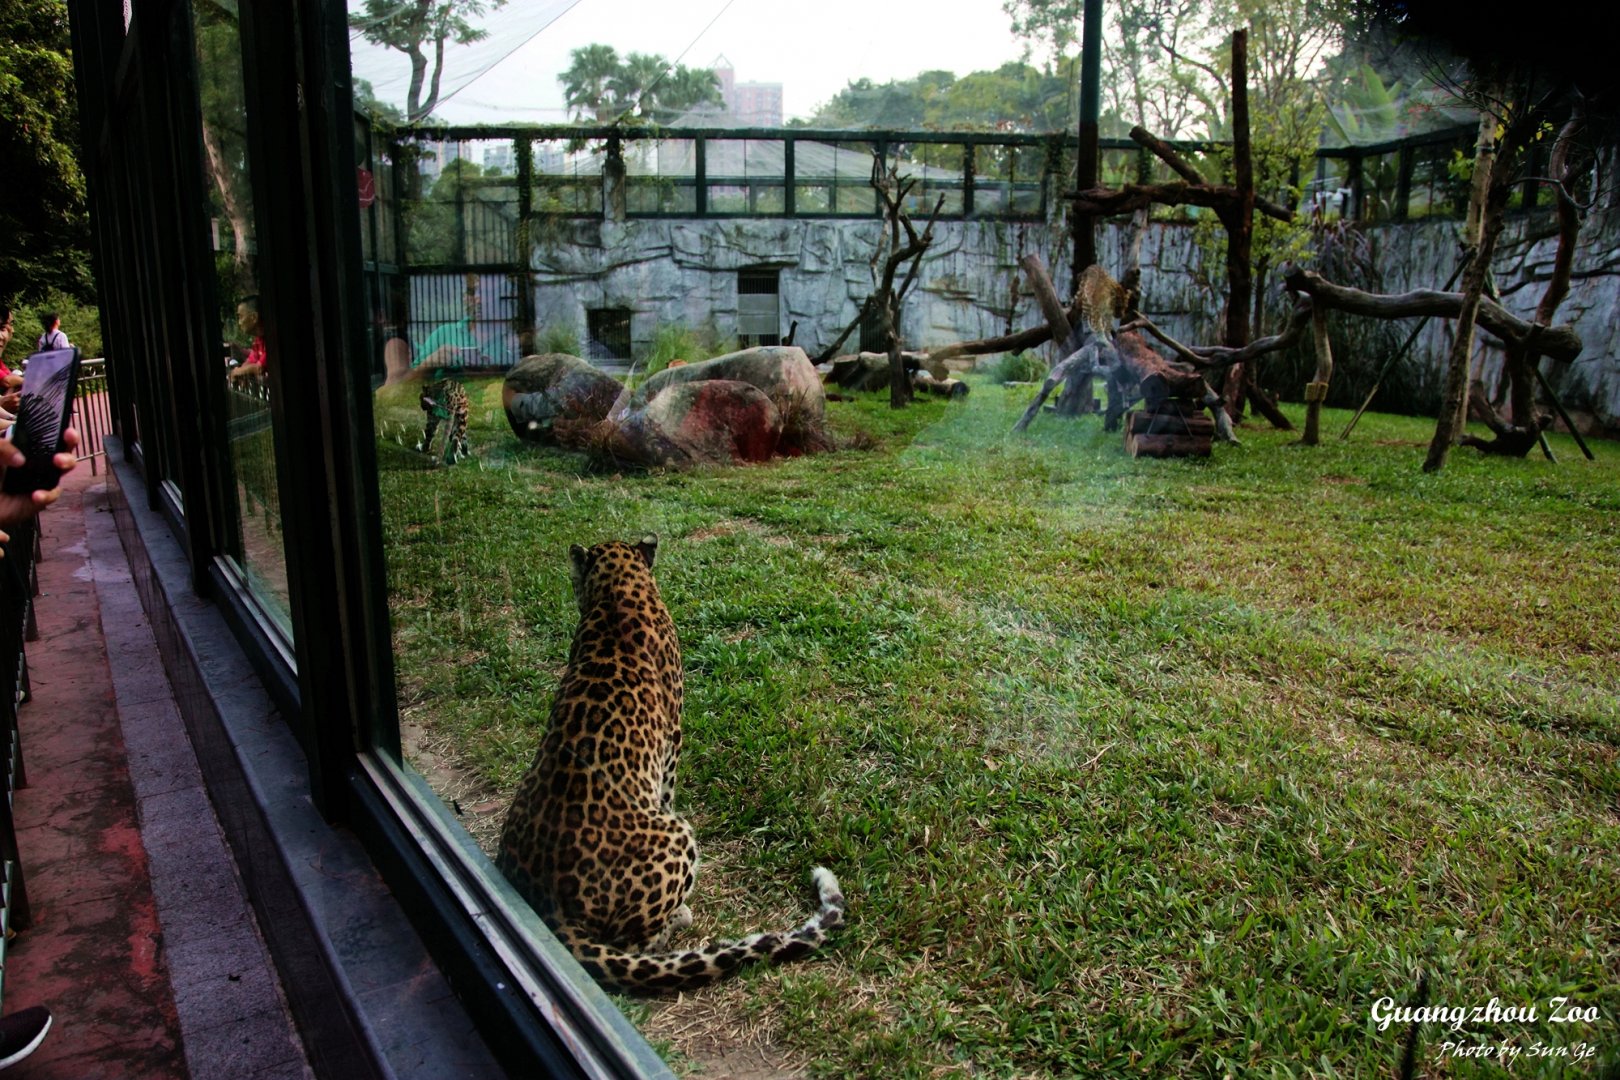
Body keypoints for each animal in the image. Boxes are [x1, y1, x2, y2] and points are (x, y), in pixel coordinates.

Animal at [495, 536, 845, 994]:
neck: (618, 590)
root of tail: (550, 904)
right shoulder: (674, 735)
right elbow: (668, 787)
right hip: (678, 834)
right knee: (636, 943)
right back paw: (680, 916)